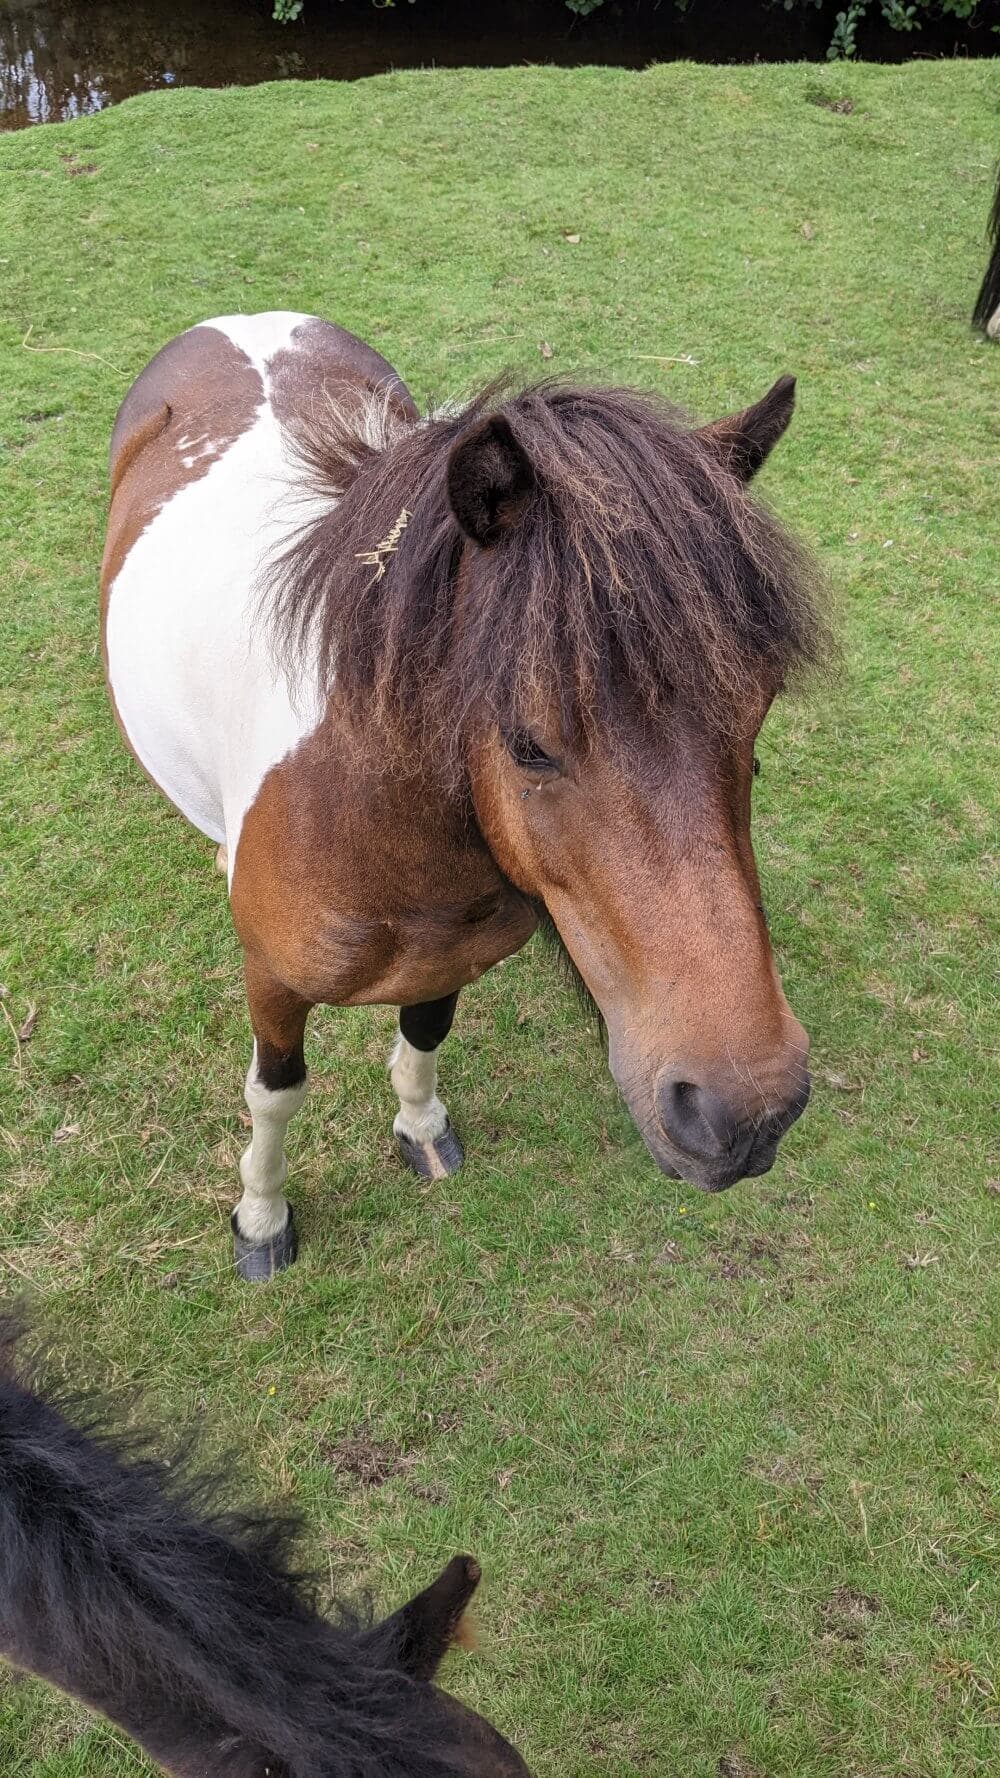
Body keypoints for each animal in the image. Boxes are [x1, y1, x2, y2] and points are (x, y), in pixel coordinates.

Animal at [100, 312, 828, 1280]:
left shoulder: (448, 956)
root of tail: (242, 322)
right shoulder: (273, 983)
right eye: (528, 742)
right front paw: (260, 1217)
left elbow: (423, 1038)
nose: (747, 1114)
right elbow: (276, 1095)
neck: (365, 823)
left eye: (759, 710)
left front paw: (420, 1128)